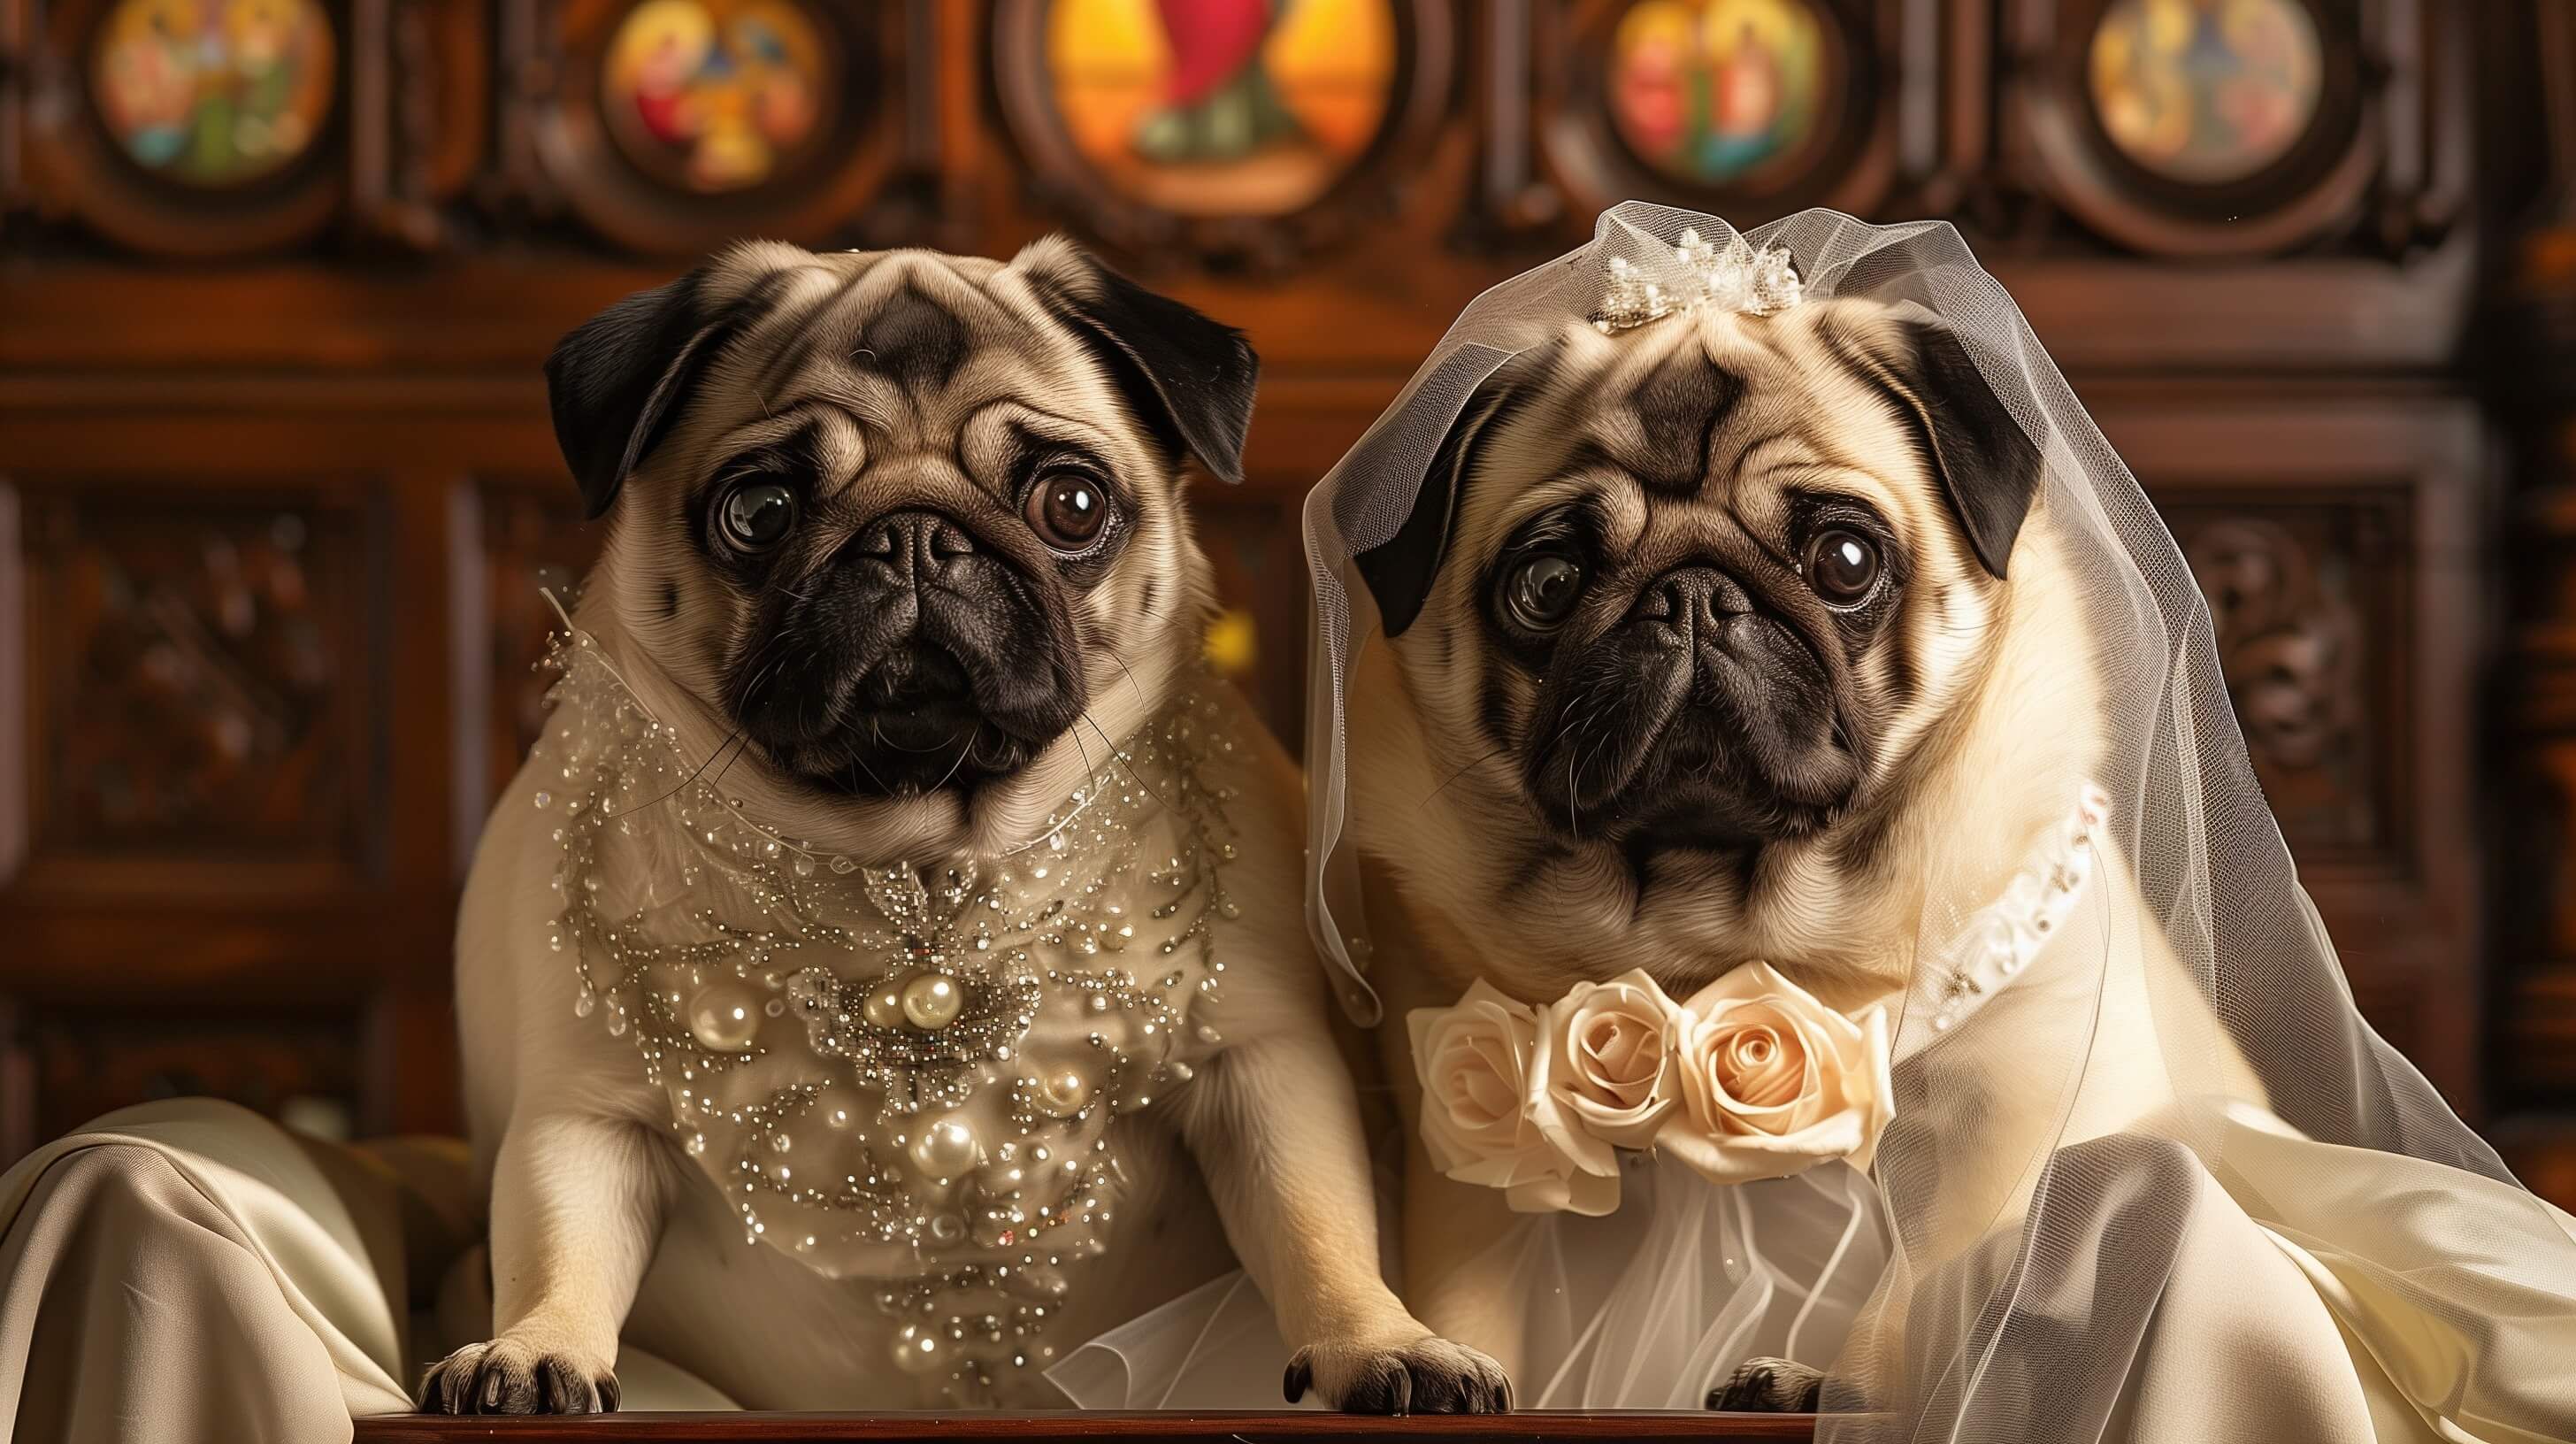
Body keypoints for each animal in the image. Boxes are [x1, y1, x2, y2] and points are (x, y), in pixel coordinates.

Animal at [427, 242, 1504, 1413]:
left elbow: (1317, 1226)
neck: (922, 870)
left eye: (1071, 504)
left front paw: (1382, 1340)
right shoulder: (582, 1115)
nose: (910, 536)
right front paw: (535, 1347)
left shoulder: (1263, 1069)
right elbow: (555, 1243)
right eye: (758, 511)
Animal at [1339, 296, 2266, 1413]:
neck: (1711, 917)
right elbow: (1474, 1288)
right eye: (1548, 583)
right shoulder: (1469, 1129)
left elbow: (1924, 1274)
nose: (1690, 596)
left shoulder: (2007, 1099)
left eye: (1845, 563)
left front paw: (1836, 1386)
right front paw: (1447, 1367)